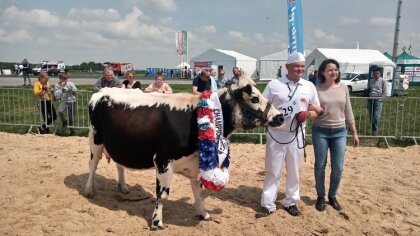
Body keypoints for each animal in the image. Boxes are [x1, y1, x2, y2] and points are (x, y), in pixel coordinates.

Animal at [85, 75, 282, 229]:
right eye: (254, 98)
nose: (280, 117)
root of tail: (102, 91)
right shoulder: (163, 161)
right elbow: (162, 194)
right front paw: (156, 221)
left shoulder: (196, 163)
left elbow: (198, 192)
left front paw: (204, 214)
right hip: (95, 139)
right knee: (93, 165)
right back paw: (89, 190)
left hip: (119, 144)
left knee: (119, 164)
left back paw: (124, 187)